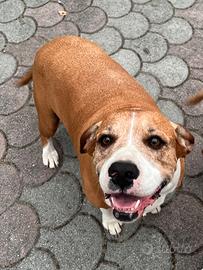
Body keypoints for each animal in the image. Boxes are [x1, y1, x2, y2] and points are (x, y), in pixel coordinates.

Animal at [18, 35, 194, 234]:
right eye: (106, 140)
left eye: (155, 141)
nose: (123, 171)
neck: (130, 106)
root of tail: (49, 44)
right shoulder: (93, 191)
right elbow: (106, 208)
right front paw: (110, 222)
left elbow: (158, 199)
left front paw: (153, 206)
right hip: (48, 117)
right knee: (44, 135)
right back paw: (49, 154)